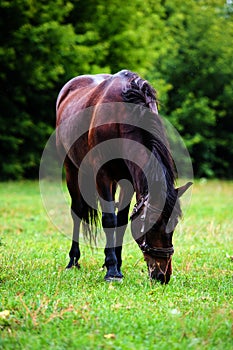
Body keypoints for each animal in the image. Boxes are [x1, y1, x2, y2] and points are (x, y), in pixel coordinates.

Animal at [56, 69, 191, 284]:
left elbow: (120, 221)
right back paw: (73, 260)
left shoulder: (128, 181)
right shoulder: (102, 174)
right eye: (153, 224)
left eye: (175, 223)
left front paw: (116, 264)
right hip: (72, 168)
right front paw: (112, 271)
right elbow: (109, 220)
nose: (163, 275)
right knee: (77, 211)